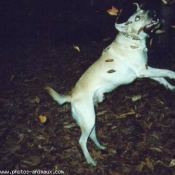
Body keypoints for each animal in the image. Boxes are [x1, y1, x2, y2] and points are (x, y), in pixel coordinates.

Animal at [44, 3, 175, 166]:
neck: (133, 39)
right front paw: (174, 77)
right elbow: (167, 72)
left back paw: (100, 147)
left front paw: (170, 87)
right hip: (89, 119)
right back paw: (90, 160)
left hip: (91, 119)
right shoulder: (143, 71)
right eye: (137, 18)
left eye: (144, 10)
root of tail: (71, 95)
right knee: (81, 141)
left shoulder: (146, 69)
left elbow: (162, 77)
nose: (152, 11)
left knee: (92, 136)